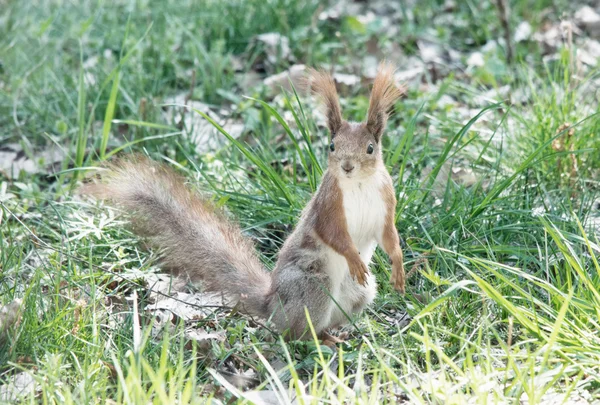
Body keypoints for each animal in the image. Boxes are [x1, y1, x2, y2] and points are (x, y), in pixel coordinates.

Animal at [84, 62, 406, 344]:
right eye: (331, 146)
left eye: (370, 148)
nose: (347, 167)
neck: (359, 185)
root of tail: (272, 306)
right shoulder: (328, 205)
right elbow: (332, 233)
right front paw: (354, 257)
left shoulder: (386, 201)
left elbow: (389, 235)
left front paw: (398, 267)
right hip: (312, 286)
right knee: (296, 334)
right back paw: (320, 340)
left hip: (360, 292)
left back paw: (337, 333)